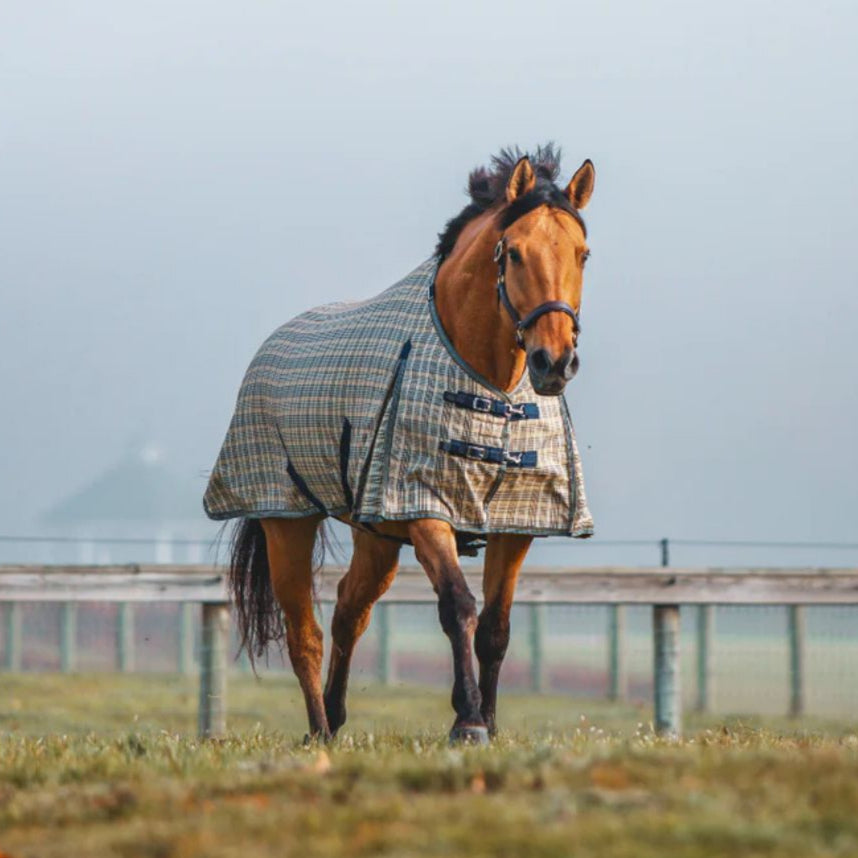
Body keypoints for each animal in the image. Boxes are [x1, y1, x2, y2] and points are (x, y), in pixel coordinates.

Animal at [206, 144, 596, 740]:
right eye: (513, 254)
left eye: (582, 254)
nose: (554, 362)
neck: (489, 384)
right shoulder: (424, 507)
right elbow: (457, 606)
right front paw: (467, 720)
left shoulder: (514, 525)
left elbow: (496, 627)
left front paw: (489, 722)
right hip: (286, 521)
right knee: (305, 634)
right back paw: (318, 729)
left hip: (377, 536)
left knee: (350, 610)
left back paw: (336, 715)